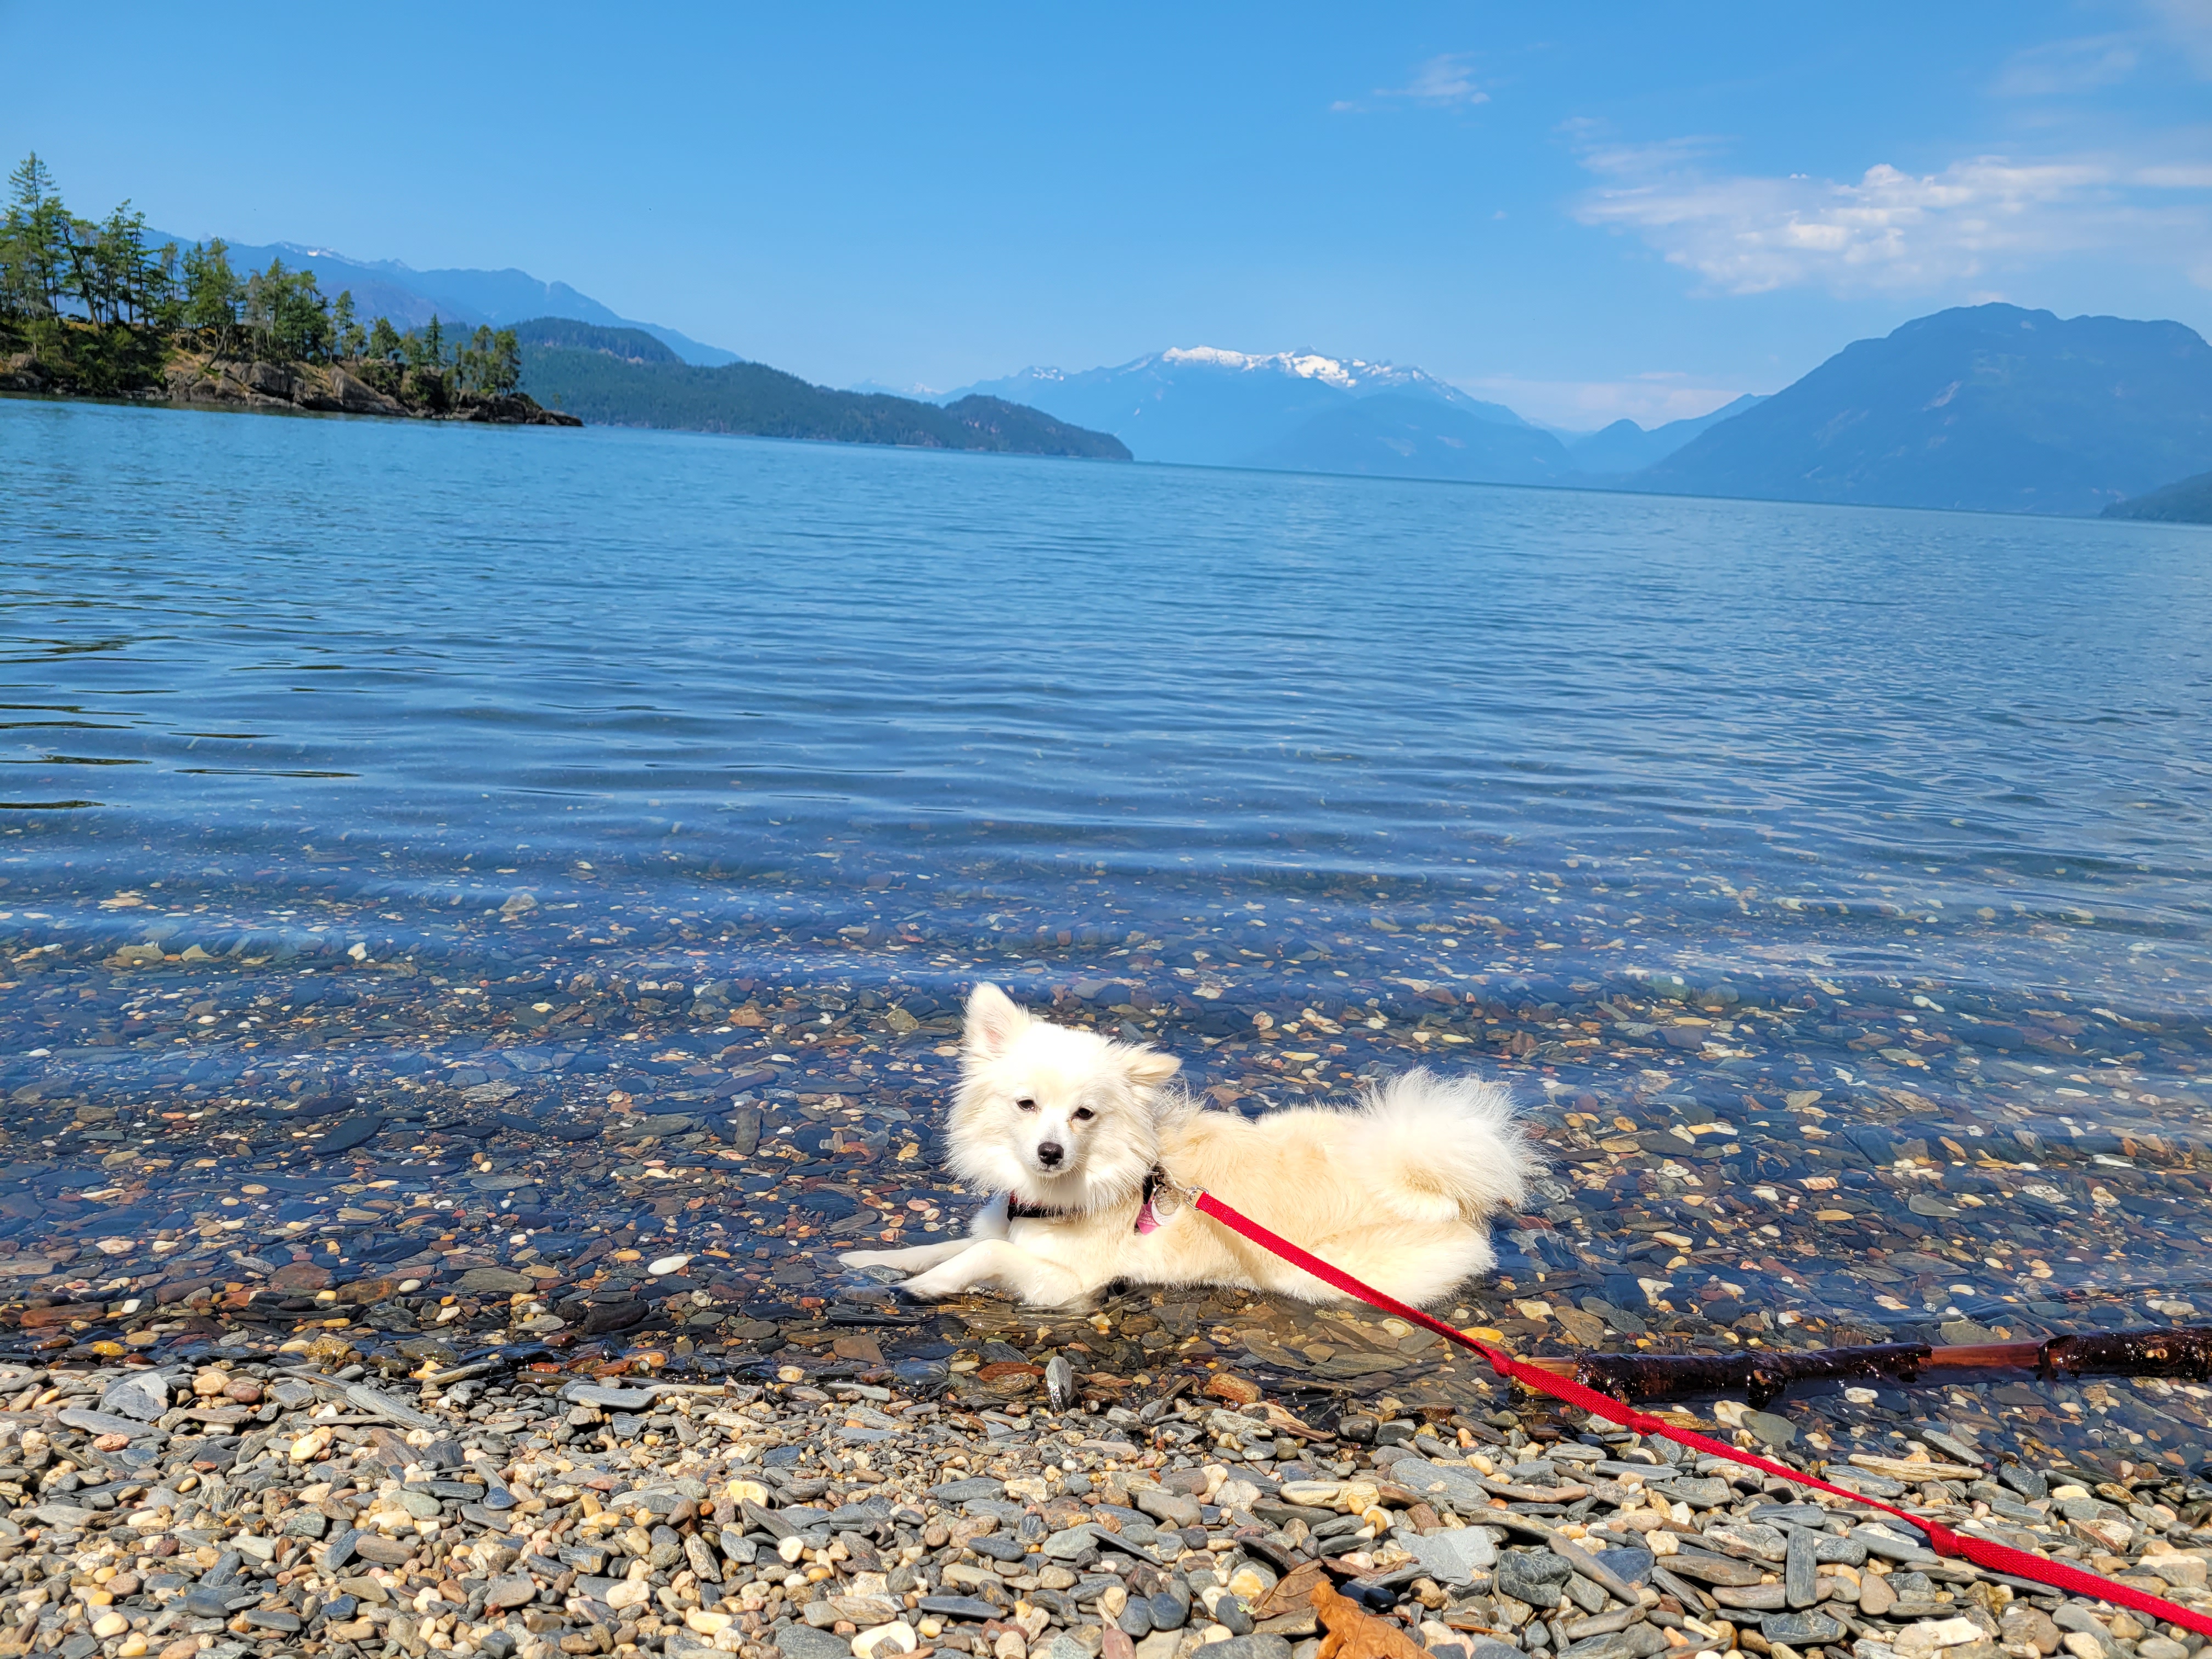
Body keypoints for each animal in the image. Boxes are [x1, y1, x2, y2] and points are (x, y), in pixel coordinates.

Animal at [838, 982, 1535, 1309]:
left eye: (1084, 1115)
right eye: (1026, 1105)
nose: (1050, 1153)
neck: (1047, 1196)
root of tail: (1440, 1190)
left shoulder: (1067, 1282)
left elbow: (983, 1257)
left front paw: (927, 1287)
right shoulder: (1001, 1229)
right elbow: (941, 1245)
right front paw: (868, 1261)